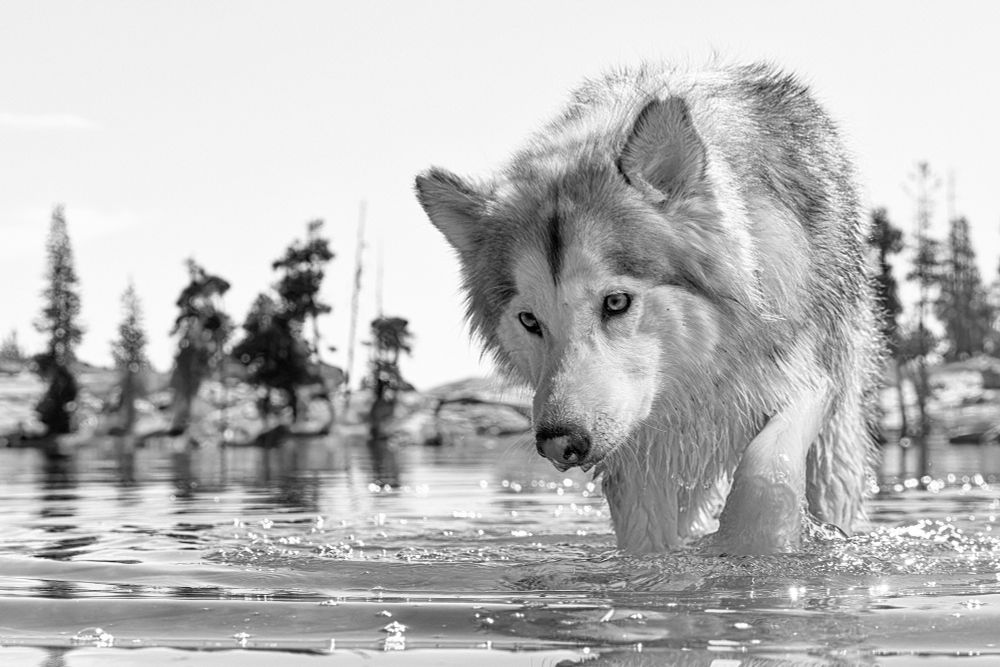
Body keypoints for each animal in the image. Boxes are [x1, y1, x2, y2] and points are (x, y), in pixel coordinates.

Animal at [415, 62, 883, 554]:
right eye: (529, 320)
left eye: (616, 302)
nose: (560, 443)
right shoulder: (640, 454)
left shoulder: (805, 378)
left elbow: (765, 476)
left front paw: (747, 549)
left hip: (836, 446)